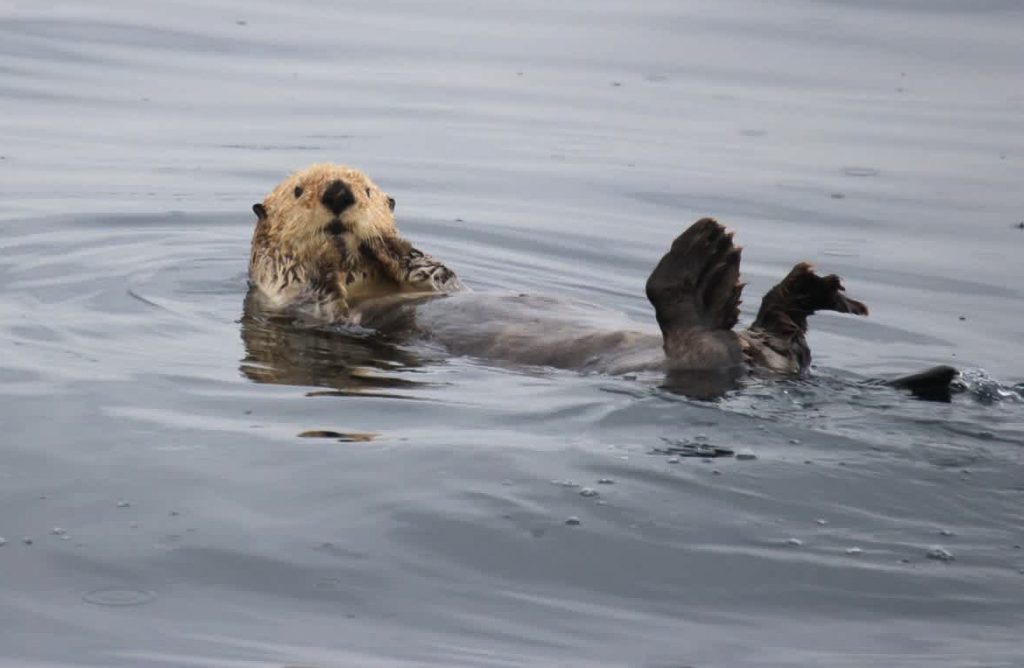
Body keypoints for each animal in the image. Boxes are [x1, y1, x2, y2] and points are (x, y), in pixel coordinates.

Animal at [247, 163, 956, 400]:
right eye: (301, 189)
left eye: (367, 189)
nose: (341, 195)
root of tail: (765, 366)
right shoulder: (294, 301)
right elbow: (312, 289)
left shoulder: (439, 278)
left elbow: (434, 269)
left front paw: (390, 243)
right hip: (701, 354)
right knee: (705, 342)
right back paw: (704, 261)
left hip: (765, 349)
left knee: (777, 335)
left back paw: (807, 288)